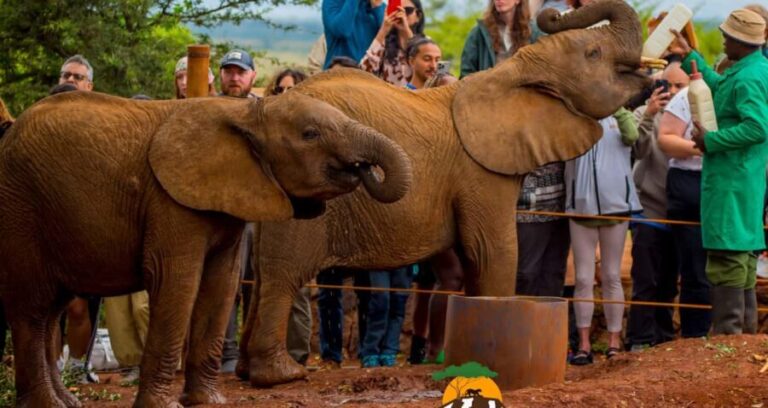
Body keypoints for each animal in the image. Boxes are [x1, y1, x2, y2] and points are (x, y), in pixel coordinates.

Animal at [0, 90, 412, 407]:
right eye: (310, 134)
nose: (363, 168)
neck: (247, 113)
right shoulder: (169, 202)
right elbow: (177, 283)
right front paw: (163, 406)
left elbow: (222, 285)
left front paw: (209, 402)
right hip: (20, 209)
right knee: (33, 310)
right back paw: (47, 404)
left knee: (51, 311)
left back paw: (66, 402)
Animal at [237, 0, 652, 387]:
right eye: (593, 54)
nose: (551, 13)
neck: (512, 73)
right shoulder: (480, 172)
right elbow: (493, 251)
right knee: (283, 276)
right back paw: (280, 375)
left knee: (259, 278)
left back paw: (244, 371)